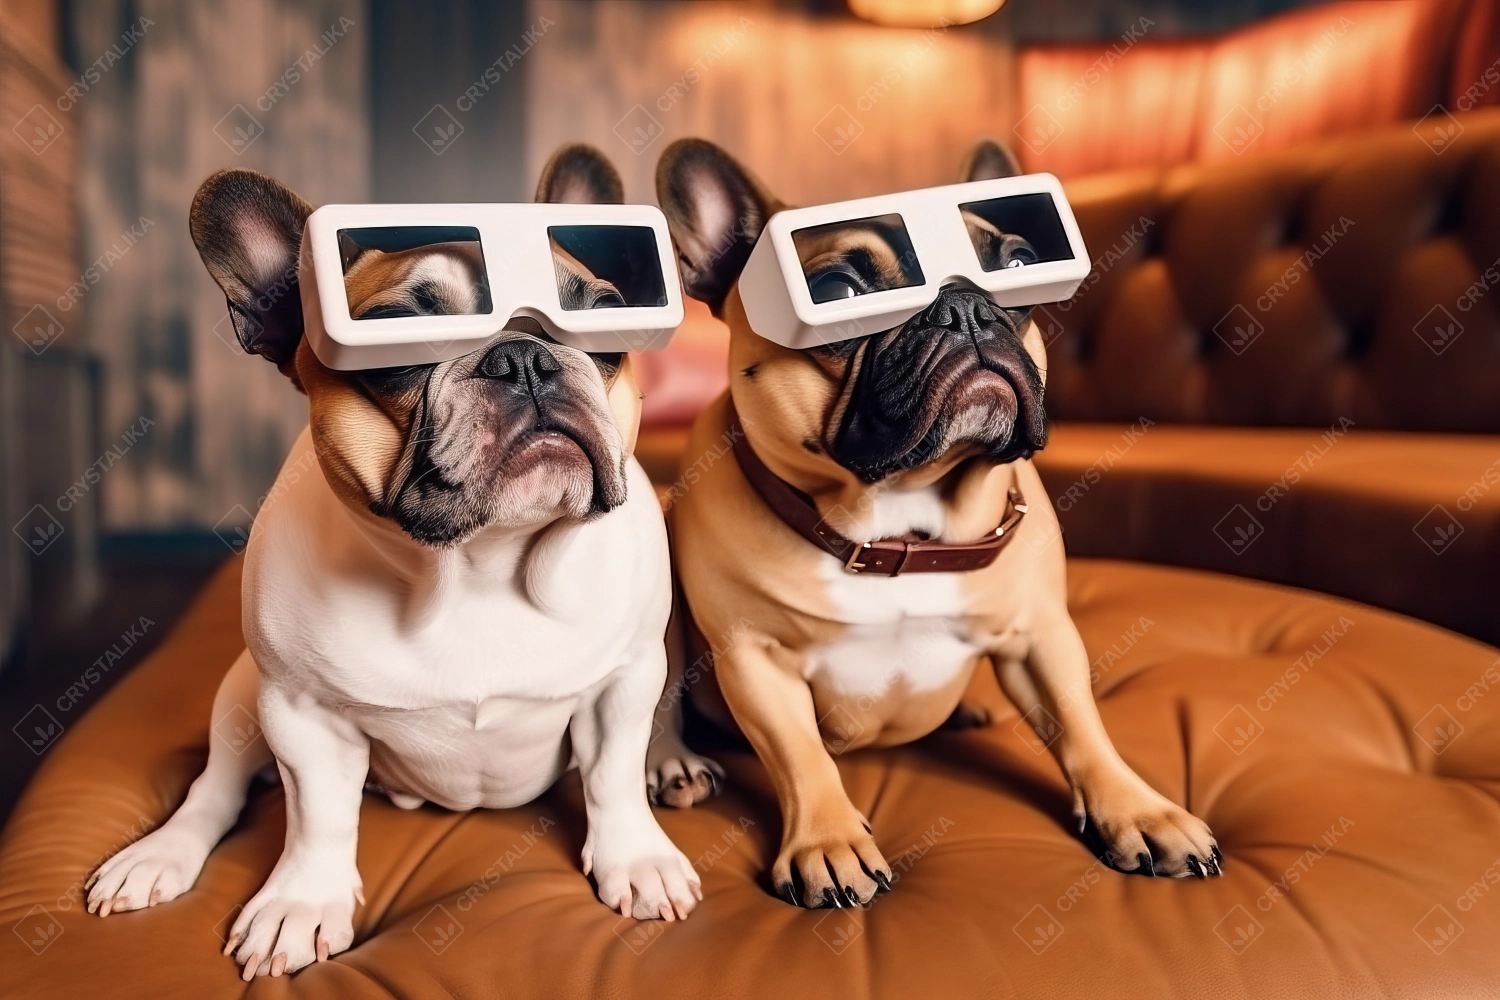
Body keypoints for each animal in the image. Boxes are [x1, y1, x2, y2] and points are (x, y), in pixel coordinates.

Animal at [86, 146, 702, 977]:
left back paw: (671, 760)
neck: (477, 566)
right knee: (215, 785)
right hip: (242, 693)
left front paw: (636, 858)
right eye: (395, 349)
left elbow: (611, 777)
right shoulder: (300, 713)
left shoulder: (623, 681)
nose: (524, 357)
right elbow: (316, 818)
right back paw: (158, 856)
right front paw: (301, 902)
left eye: (604, 320)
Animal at [654, 137, 1218, 911]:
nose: (966, 306)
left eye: (1017, 266)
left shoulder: (1040, 635)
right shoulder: (755, 658)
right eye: (838, 293)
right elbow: (800, 755)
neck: (900, 528)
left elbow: (1082, 724)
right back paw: (673, 764)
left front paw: (1138, 810)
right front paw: (828, 841)